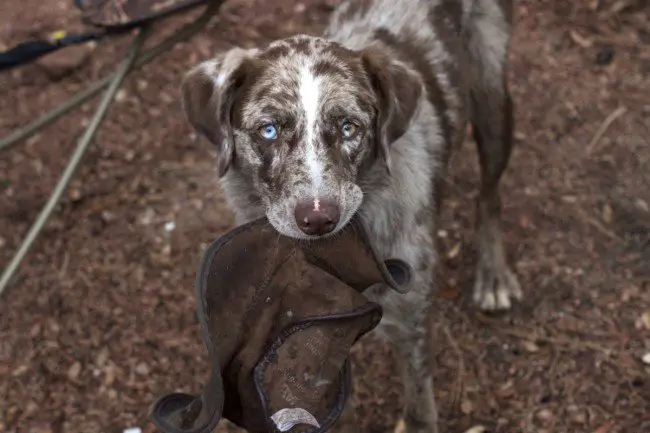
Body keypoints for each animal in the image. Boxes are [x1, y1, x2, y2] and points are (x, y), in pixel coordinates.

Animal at [178, 0, 520, 430]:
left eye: (348, 127)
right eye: (269, 129)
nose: (318, 218)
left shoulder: (411, 321)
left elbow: (419, 405)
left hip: (492, 101)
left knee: (490, 194)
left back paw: (493, 275)